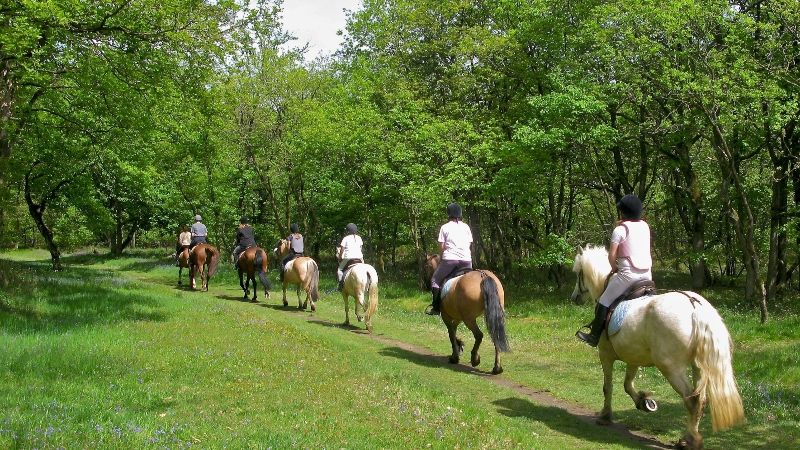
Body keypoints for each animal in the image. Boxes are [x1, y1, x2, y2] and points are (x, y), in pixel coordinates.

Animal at [568, 246, 744, 450]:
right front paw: (644, 402)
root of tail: (695, 308)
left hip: (670, 367)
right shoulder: (633, 357)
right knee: (700, 400)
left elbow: (608, 386)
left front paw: (605, 416)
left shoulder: (605, 354)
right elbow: (627, 384)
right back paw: (690, 437)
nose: (574, 298)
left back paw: (689, 440)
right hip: (698, 367)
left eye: (578, 274)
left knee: (691, 400)